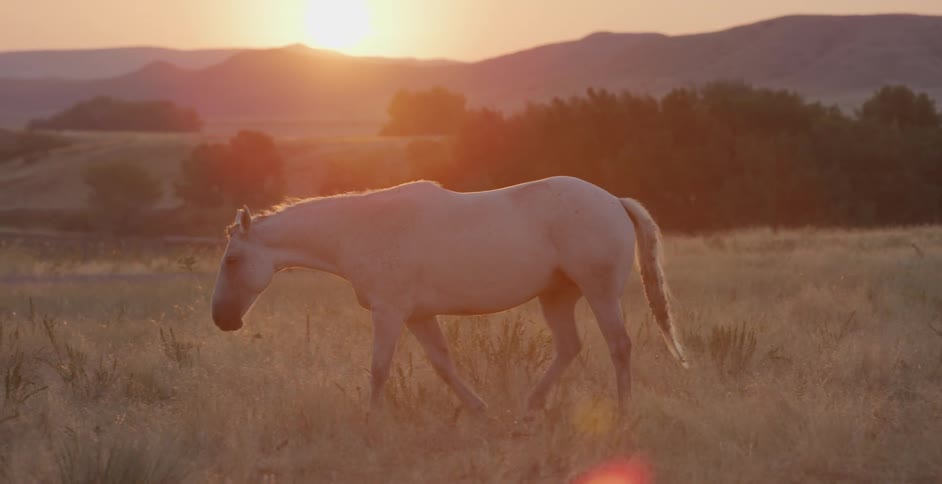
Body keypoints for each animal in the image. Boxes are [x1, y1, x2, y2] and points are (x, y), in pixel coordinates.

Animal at [211, 176, 688, 413]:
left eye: (232, 260)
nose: (221, 319)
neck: (361, 229)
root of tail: (614, 200)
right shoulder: (418, 316)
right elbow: (443, 364)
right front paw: (477, 408)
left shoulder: (389, 313)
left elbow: (378, 370)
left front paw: (370, 421)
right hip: (557, 297)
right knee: (570, 347)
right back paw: (529, 407)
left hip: (599, 292)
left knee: (619, 346)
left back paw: (623, 414)